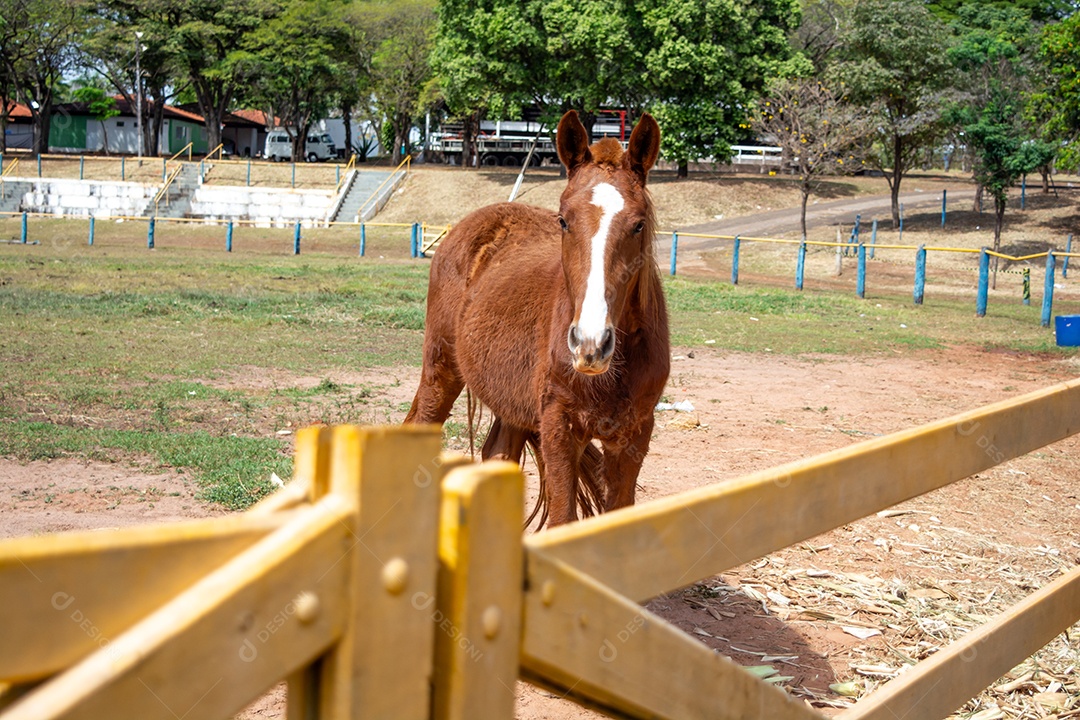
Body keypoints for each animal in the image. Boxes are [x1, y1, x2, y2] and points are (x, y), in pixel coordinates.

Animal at [404, 110, 670, 527]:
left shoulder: (634, 437)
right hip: (441, 368)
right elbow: (562, 520)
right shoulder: (559, 429)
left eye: (639, 224)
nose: (590, 343)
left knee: (497, 454)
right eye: (563, 220)